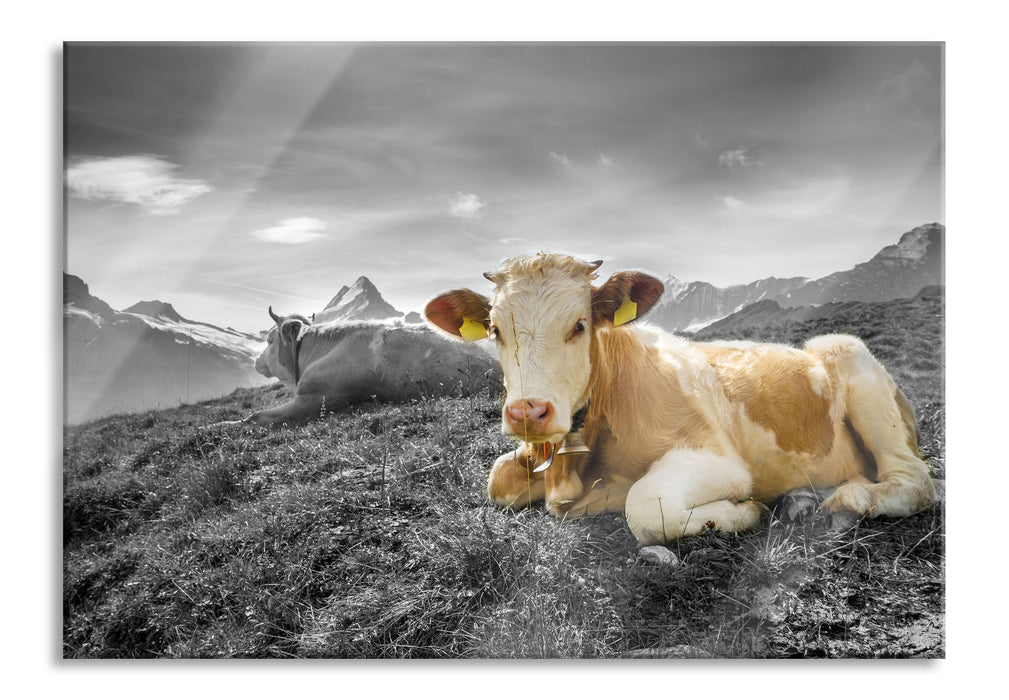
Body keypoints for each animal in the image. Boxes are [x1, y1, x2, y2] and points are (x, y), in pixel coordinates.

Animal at [424, 253, 937, 545]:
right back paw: (803, 500)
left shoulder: (718, 458)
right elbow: (497, 479)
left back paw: (845, 499)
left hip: (851, 359)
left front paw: (742, 512)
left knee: (914, 481)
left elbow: (645, 507)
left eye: (579, 325)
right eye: (495, 329)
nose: (528, 411)